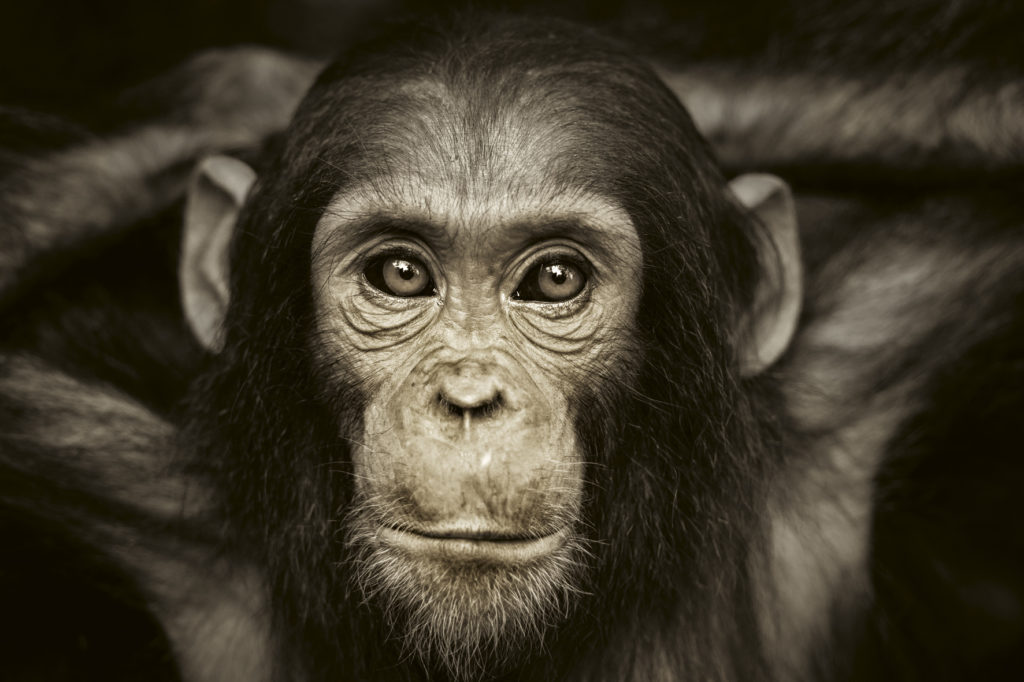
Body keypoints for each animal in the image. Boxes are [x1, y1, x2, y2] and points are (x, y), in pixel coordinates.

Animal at [1, 11, 1022, 682]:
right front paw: (245, 89)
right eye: (400, 274)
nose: (468, 396)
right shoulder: (131, 483)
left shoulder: (875, 356)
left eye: (556, 280)